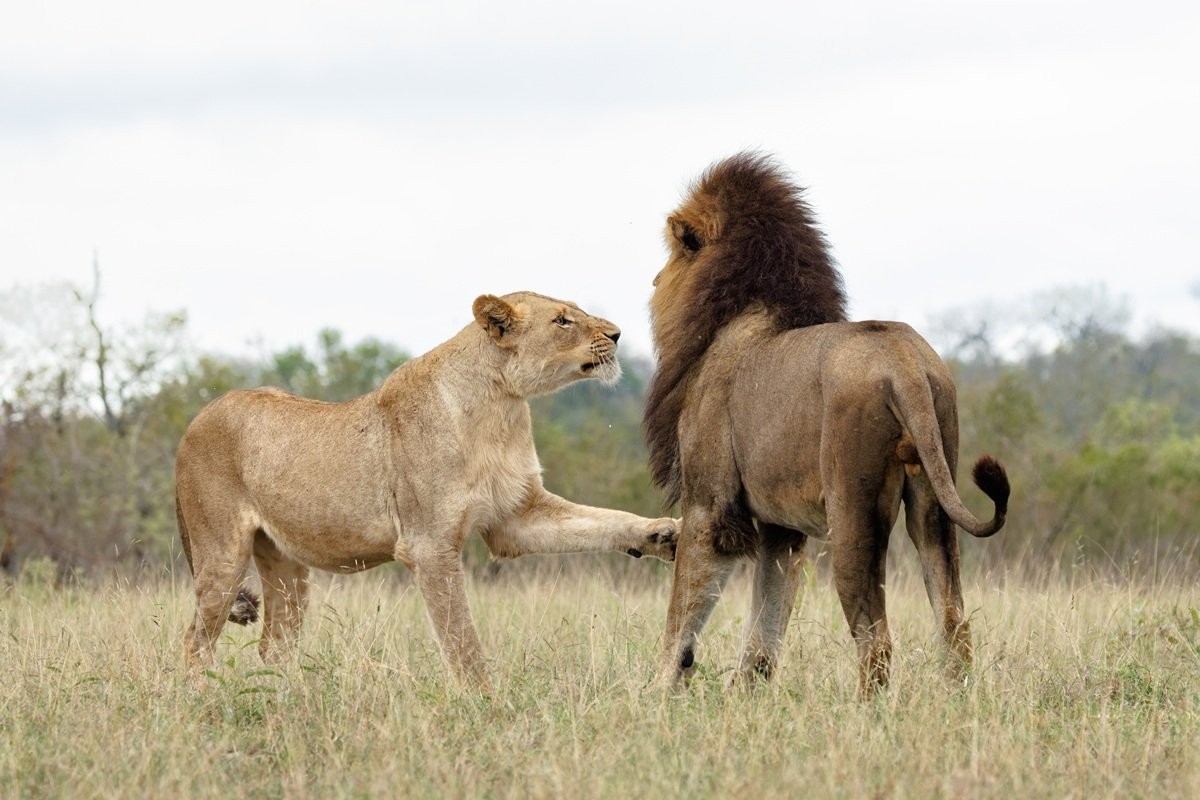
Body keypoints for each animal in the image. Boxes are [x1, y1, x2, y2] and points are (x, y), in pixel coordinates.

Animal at [176, 291, 677, 689]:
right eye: (562, 320)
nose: (617, 334)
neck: (500, 405)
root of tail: (194, 422)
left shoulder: (516, 517)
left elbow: (601, 520)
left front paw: (661, 533)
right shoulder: (429, 544)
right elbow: (462, 638)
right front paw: (484, 705)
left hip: (287, 569)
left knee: (274, 644)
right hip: (222, 554)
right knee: (194, 641)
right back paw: (204, 697)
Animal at [645, 154, 1009, 694]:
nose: (652, 281)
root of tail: (905, 362)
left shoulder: (710, 508)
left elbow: (682, 617)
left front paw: (656, 691)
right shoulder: (779, 527)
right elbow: (765, 627)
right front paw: (747, 696)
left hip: (852, 511)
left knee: (877, 642)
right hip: (934, 501)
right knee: (953, 622)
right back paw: (955, 699)